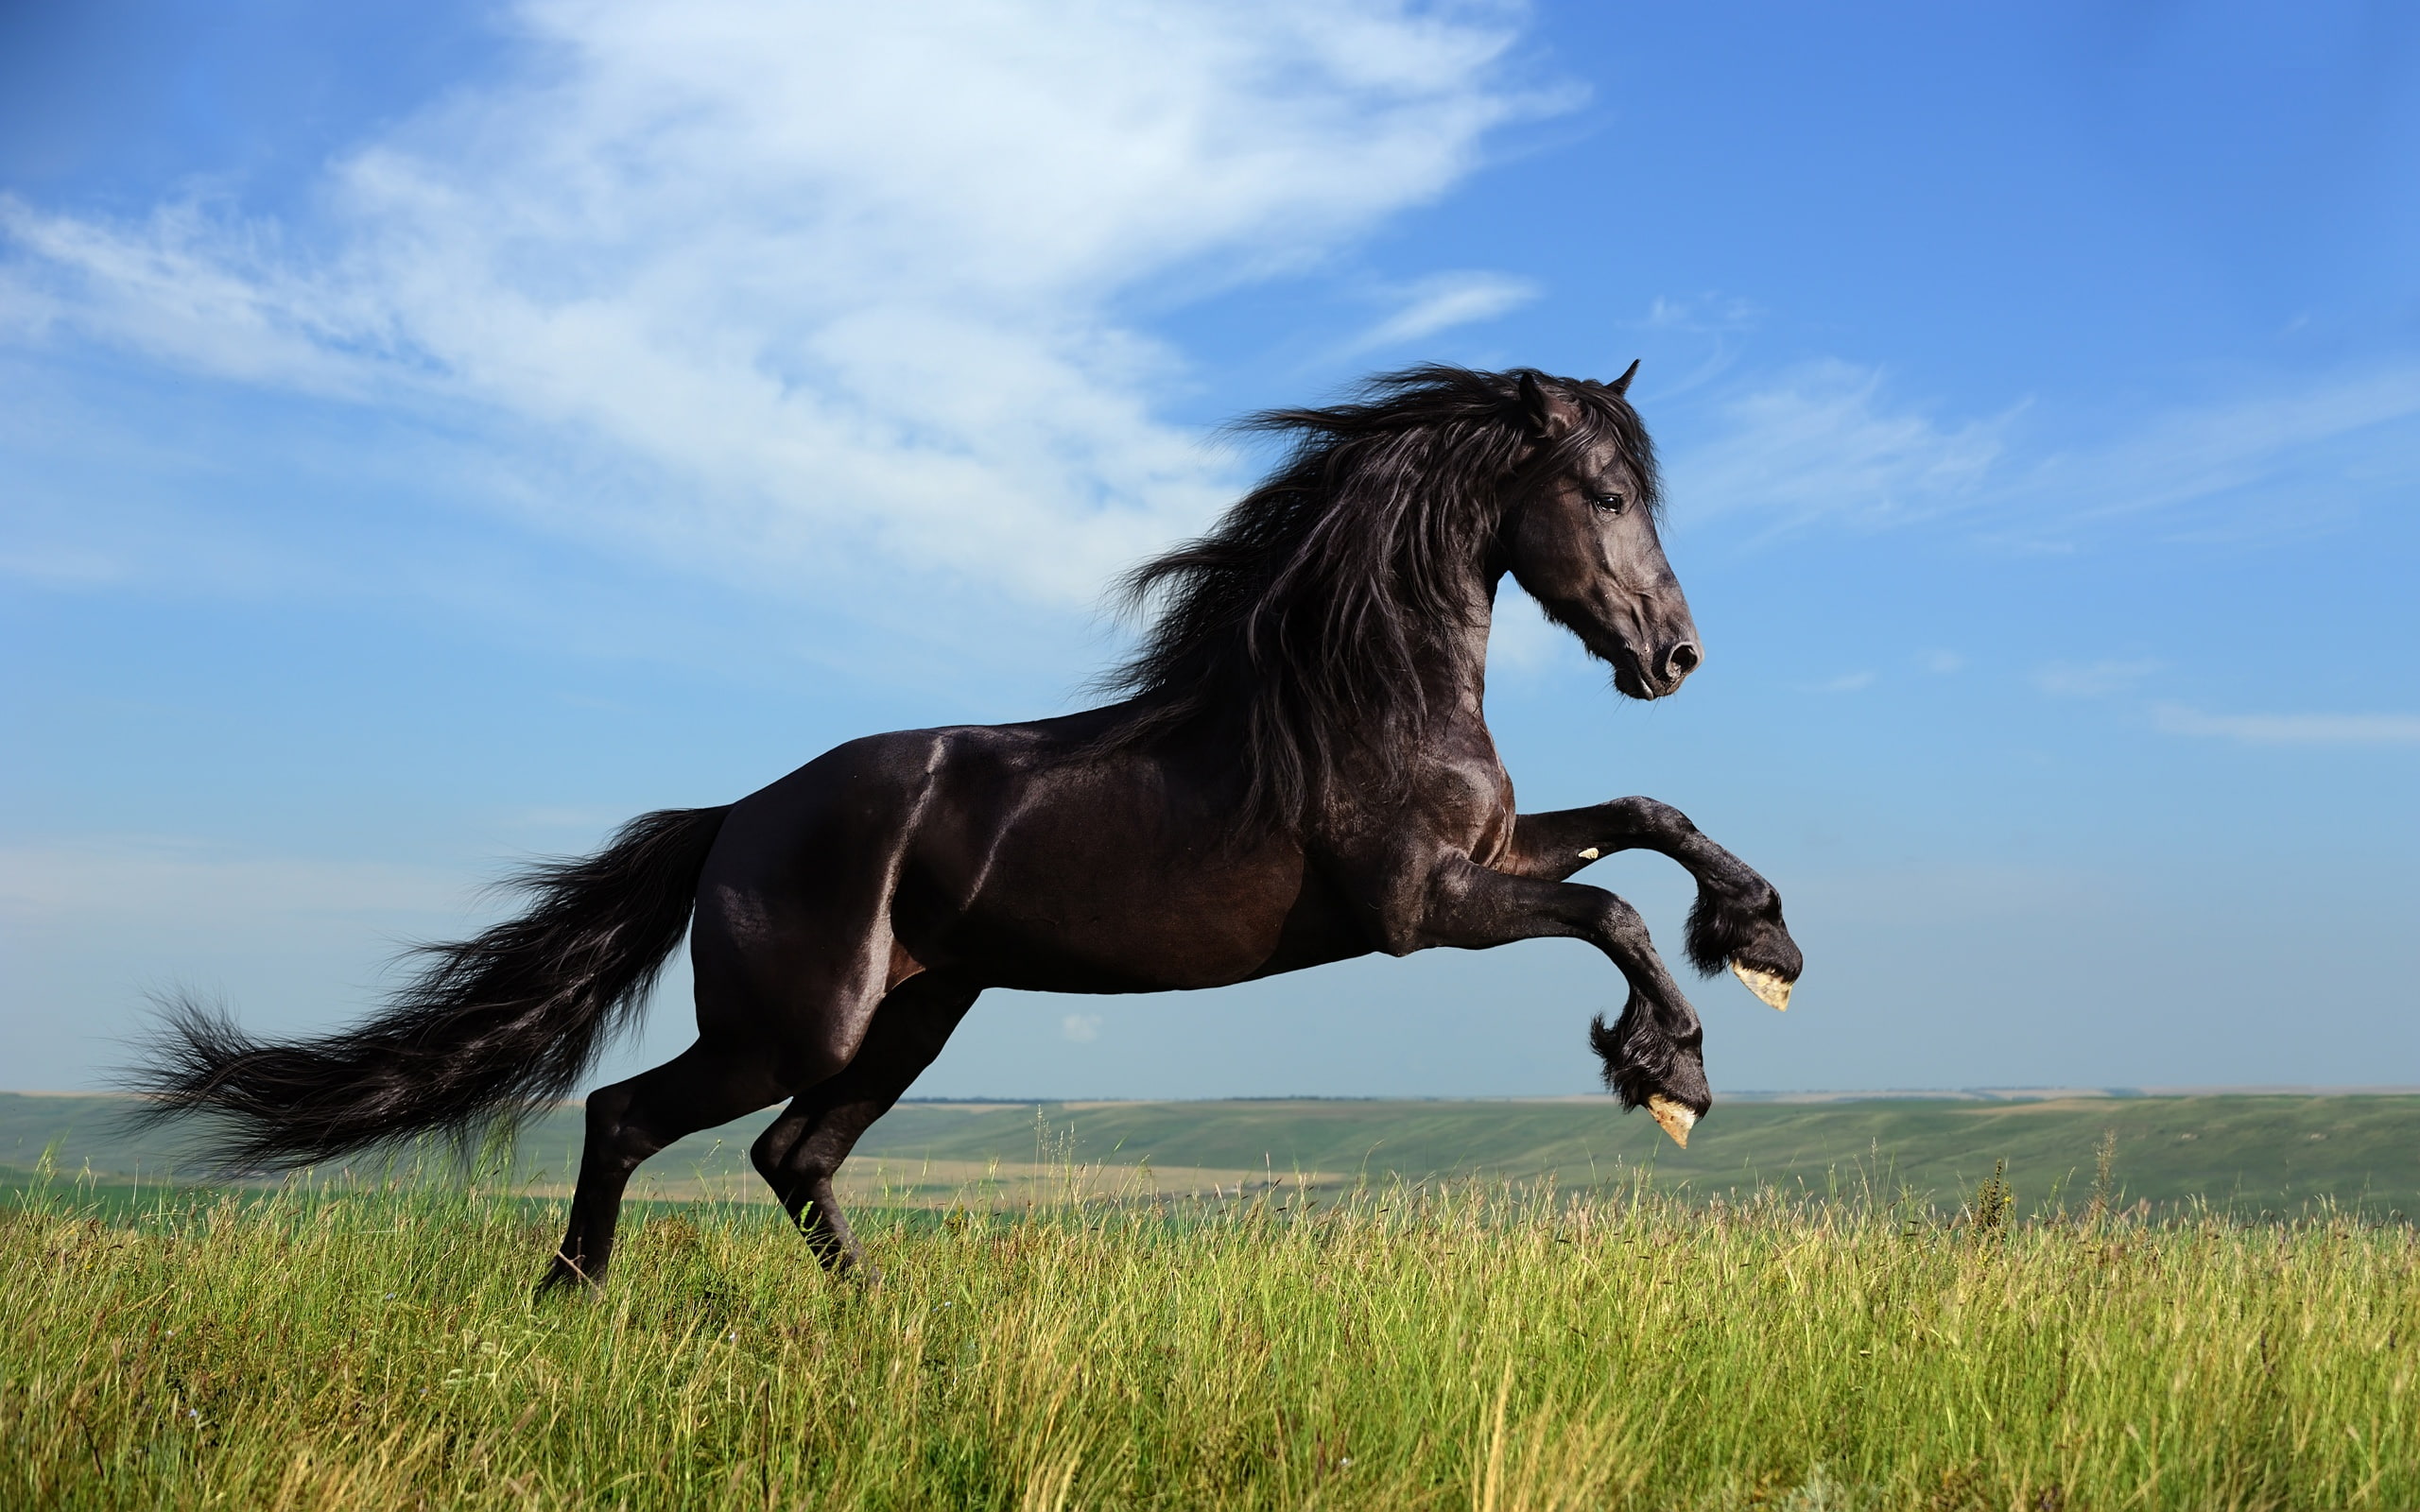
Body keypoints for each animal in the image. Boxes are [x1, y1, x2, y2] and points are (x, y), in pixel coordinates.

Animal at [131, 364, 1804, 1291]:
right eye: (1602, 493)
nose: (1673, 656)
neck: (1358, 691)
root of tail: (733, 820)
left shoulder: (1491, 858)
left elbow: (1648, 819)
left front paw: (1764, 943)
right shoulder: (1420, 908)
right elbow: (1612, 910)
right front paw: (1670, 1073)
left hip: (918, 1016)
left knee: (793, 1157)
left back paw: (878, 1321)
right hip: (796, 1022)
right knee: (632, 1120)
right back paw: (570, 1303)